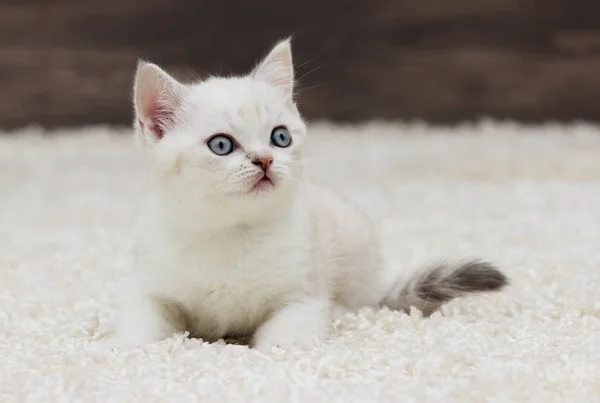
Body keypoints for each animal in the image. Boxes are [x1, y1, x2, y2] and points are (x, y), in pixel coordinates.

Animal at [111, 38, 506, 354]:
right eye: (221, 145)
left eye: (280, 137)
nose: (265, 159)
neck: (231, 233)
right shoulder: (152, 288)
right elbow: (142, 327)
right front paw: (129, 345)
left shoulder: (303, 292)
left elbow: (289, 329)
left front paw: (282, 344)